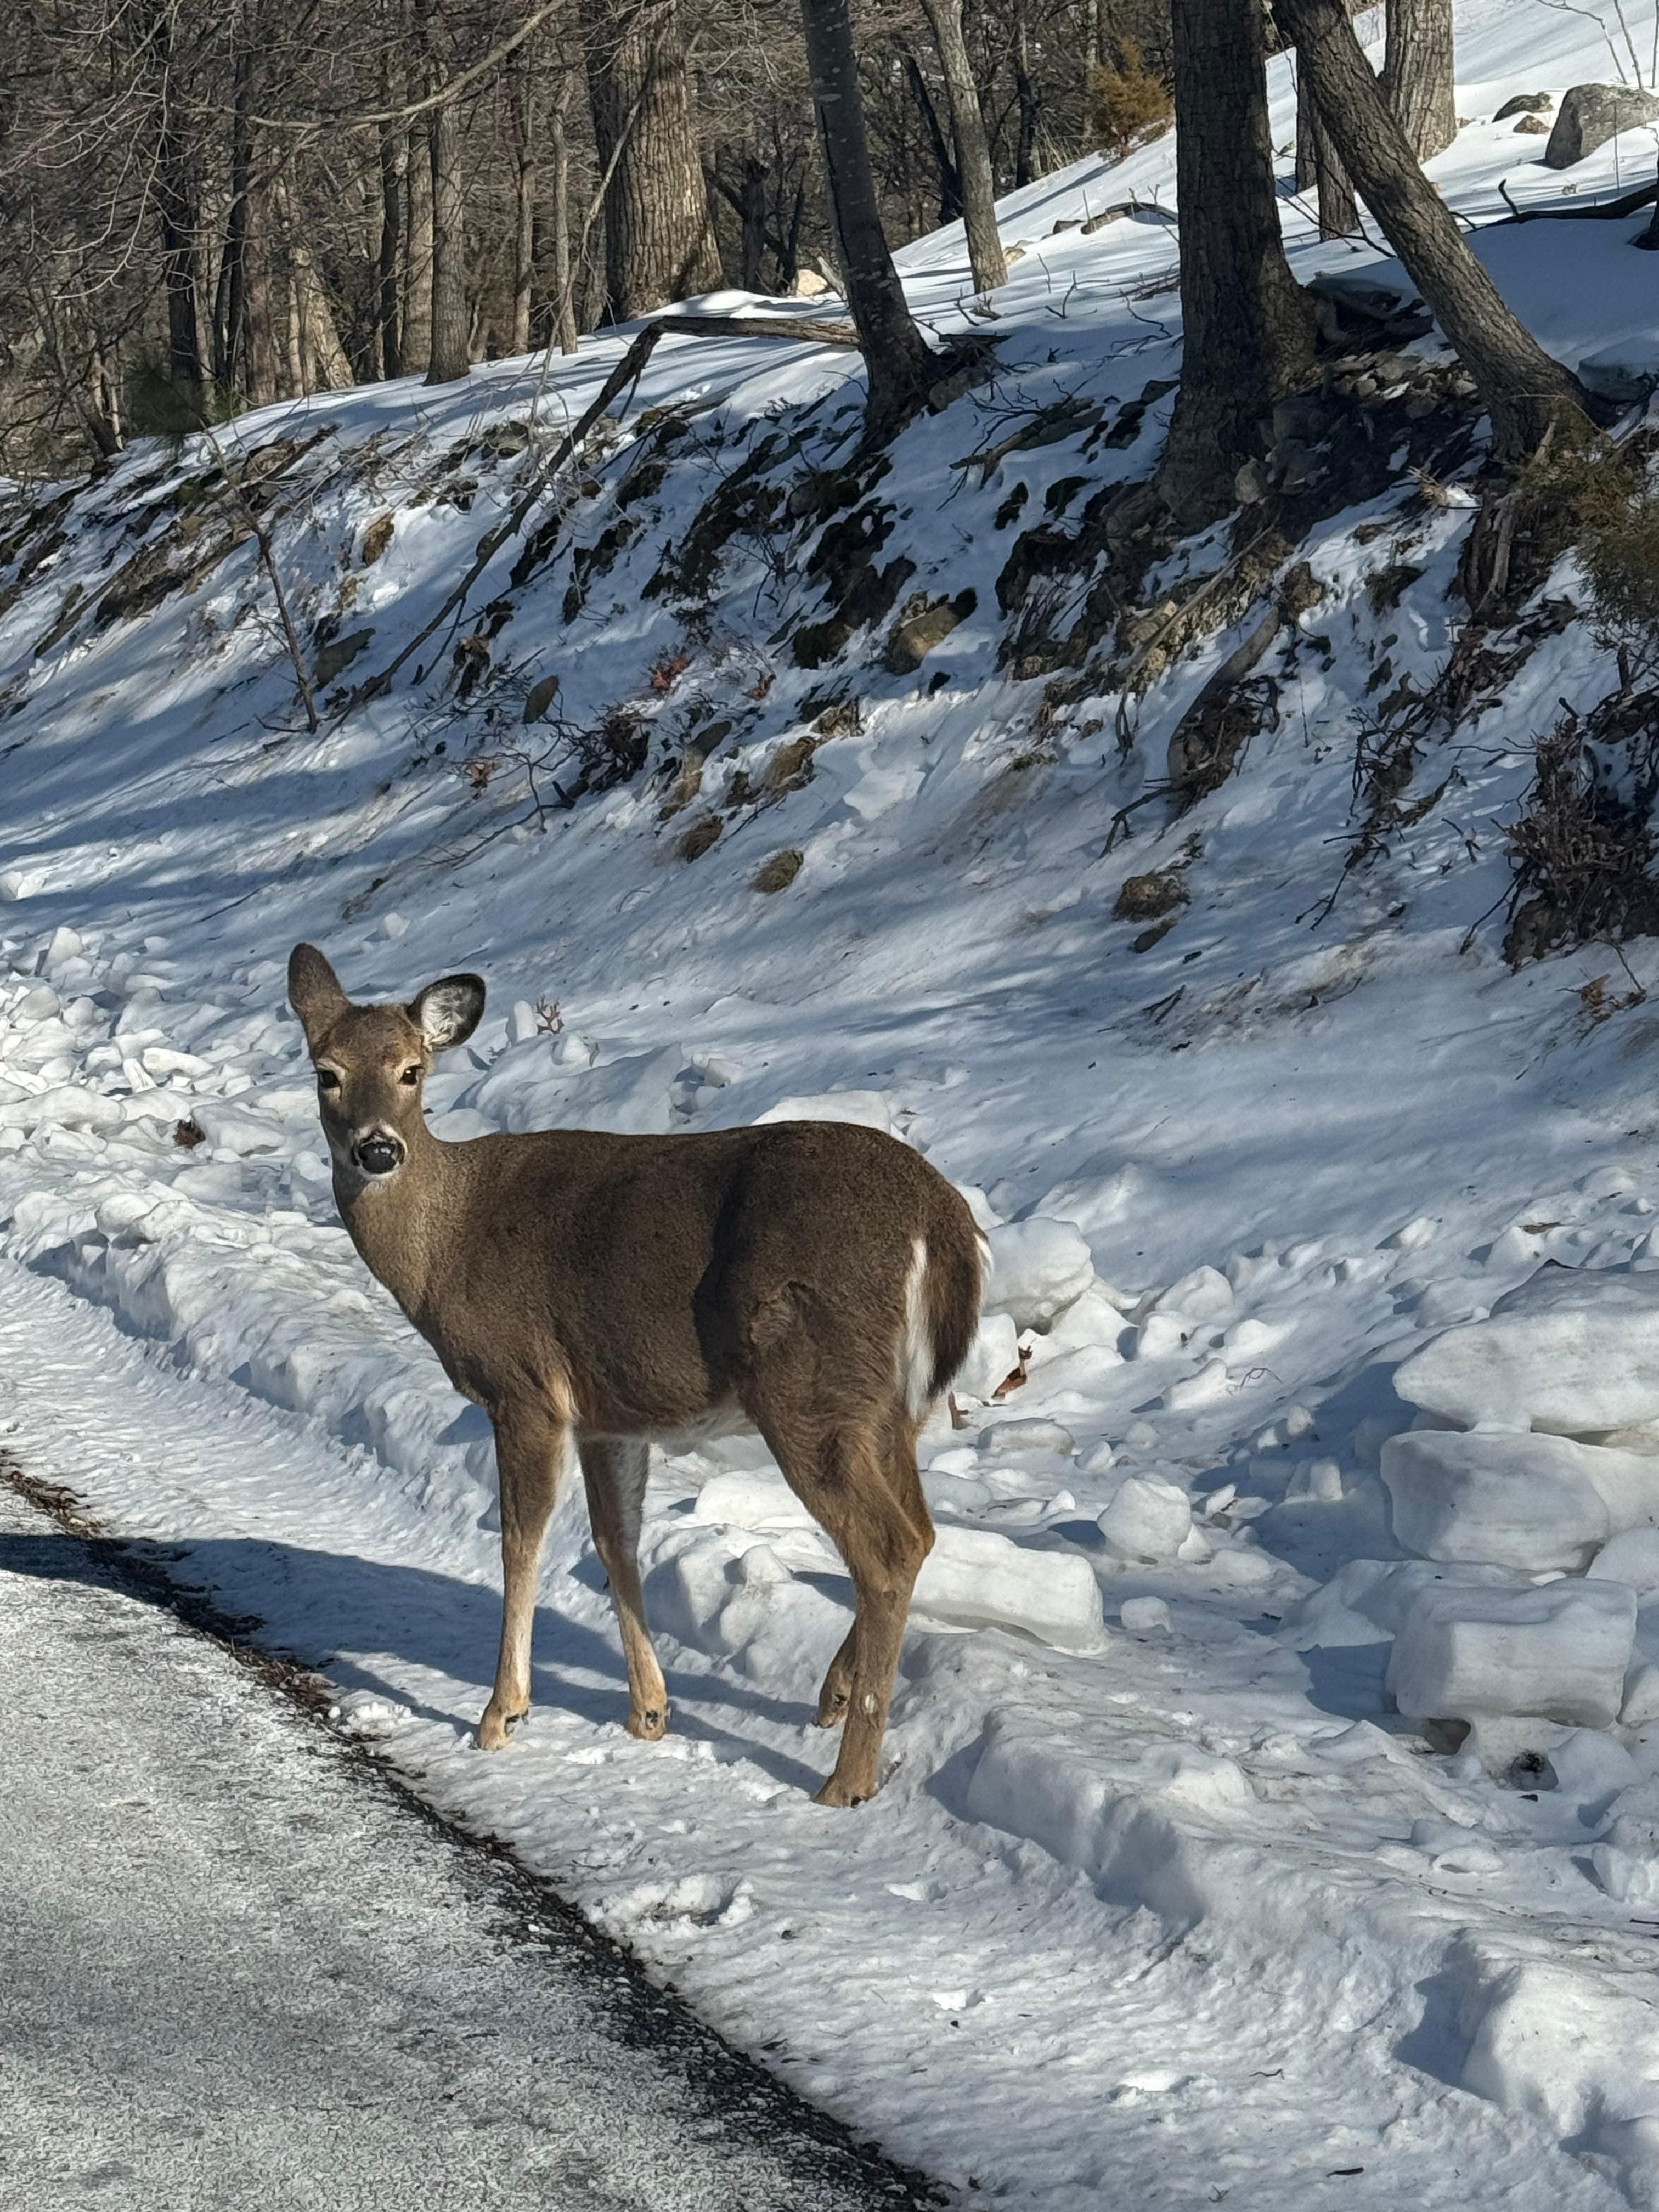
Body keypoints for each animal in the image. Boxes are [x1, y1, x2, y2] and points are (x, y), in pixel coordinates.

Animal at [287, 943, 984, 1806]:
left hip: (809, 1383)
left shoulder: (524, 1386)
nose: (379, 1149)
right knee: (920, 1532)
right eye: (327, 1072)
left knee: (887, 1549)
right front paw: (649, 1711)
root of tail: (941, 1221)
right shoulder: (606, 1414)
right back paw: (833, 1695)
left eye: (412, 1070)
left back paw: (846, 1780)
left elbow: (521, 1541)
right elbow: (614, 1539)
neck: (444, 1245)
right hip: (890, 1403)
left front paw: (501, 1715)